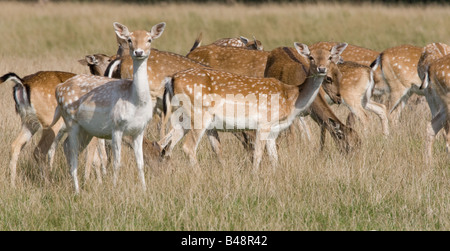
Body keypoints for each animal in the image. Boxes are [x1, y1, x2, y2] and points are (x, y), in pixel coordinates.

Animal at [51, 22, 166, 193]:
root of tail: (58, 88)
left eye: (149, 39)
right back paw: (77, 190)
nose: (138, 52)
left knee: (67, 147)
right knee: (72, 150)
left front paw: (144, 190)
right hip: (71, 121)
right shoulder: (116, 127)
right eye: (130, 39)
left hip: (87, 129)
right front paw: (115, 188)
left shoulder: (139, 130)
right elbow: (116, 163)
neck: (135, 102)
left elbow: (140, 163)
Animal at [160, 42, 346, 171]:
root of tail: (172, 79)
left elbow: (274, 158)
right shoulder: (264, 123)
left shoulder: (273, 131)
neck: (292, 97)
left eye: (329, 57)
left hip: (183, 117)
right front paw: (254, 175)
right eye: (311, 57)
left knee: (165, 143)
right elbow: (258, 154)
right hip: (199, 114)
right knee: (187, 147)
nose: (322, 69)